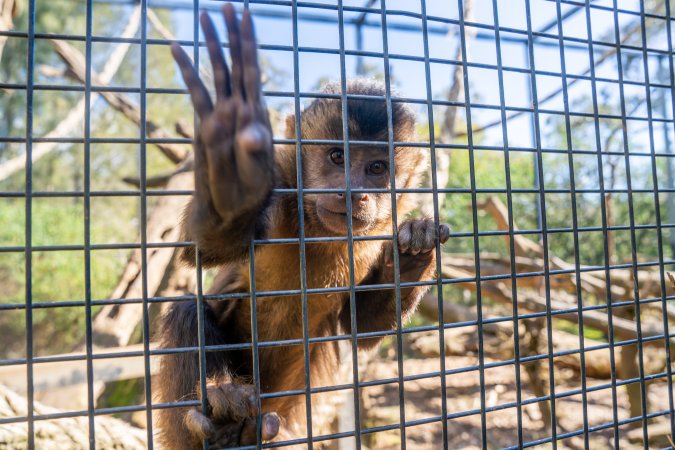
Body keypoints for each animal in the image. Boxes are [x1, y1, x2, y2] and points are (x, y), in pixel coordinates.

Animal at [155, 4, 450, 449]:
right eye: (336, 157)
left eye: (376, 168)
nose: (354, 193)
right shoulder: (280, 183)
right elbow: (201, 250)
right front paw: (233, 183)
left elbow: (360, 329)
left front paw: (413, 253)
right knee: (188, 311)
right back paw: (220, 425)